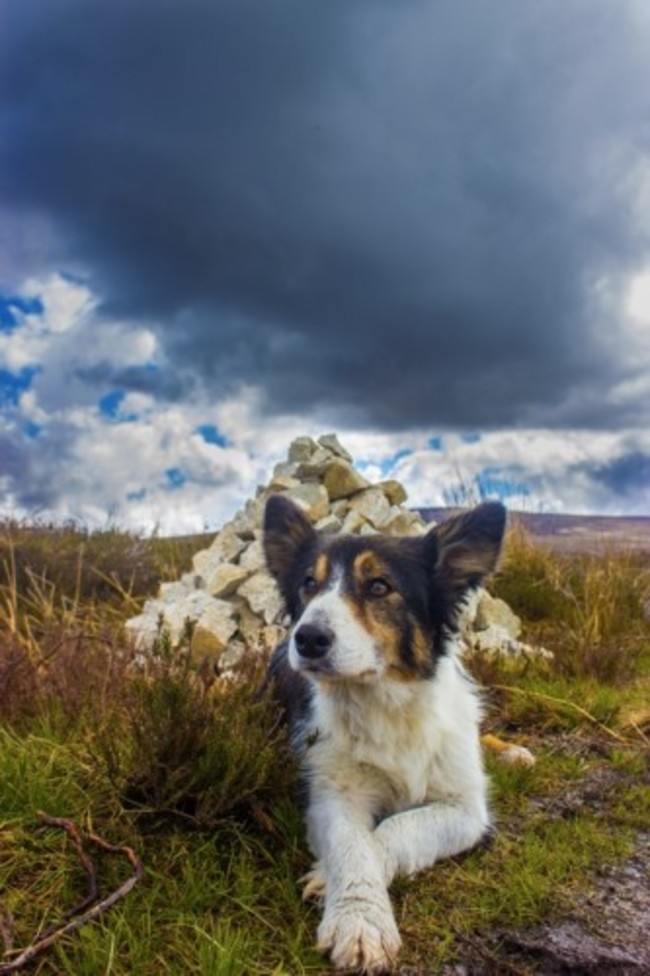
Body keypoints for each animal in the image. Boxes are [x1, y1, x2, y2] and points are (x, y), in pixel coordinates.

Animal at [262, 500, 506, 972]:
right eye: (308, 584)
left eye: (378, 586)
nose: (308, 638)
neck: (385, 705)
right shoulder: (332, 792)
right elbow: (353, 844)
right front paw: (358, 919)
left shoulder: (465, 810)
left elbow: (395, 829)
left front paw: (336, 888)